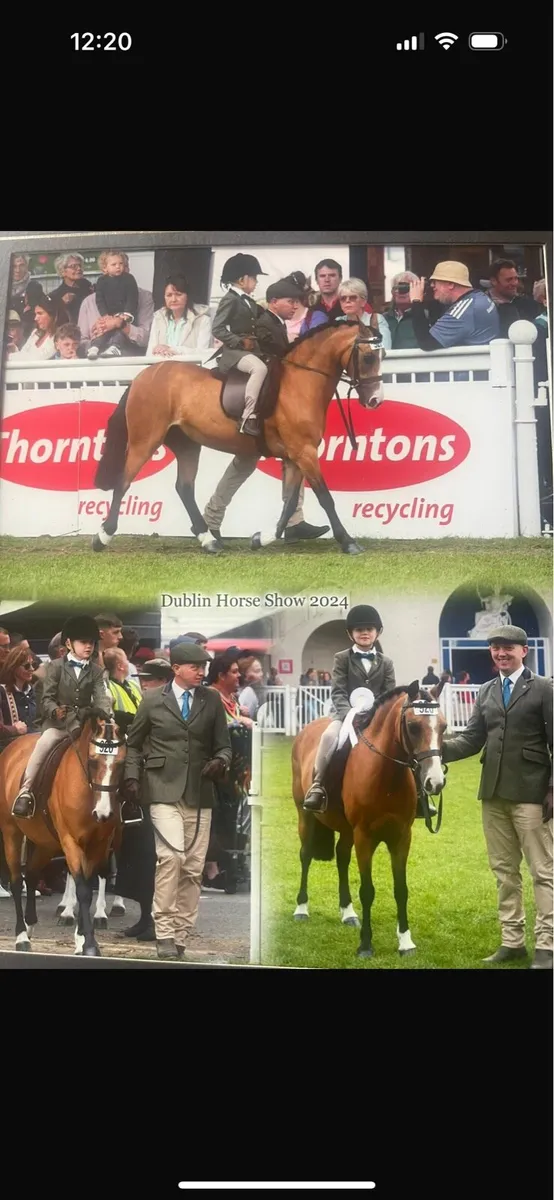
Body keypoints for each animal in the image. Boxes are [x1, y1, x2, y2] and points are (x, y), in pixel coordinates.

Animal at [0, 717, 126, 956]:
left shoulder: (99, 845)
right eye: (93, 762)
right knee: (16, 880)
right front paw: (89, 944)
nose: (103, 813)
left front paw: (82, 939)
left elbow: (88, 884)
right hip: (11, 832)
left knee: (31, 874)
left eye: (121, 764)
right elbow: (83, 890)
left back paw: (30, 924)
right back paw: (21, 936)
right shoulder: (71, 842)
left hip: (45, 843)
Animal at [92, 320, 385, 557]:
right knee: (123, 482)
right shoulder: (304, 452)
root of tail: (142, 376)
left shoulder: (297, 455)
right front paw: (348, 542)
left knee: (184, 488)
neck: (299, 383)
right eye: (369, 357)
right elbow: (325, 497)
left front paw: (261, 538)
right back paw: (103, 537)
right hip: (144, 442)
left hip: (187, 445)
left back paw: (209, 540)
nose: (375, 400)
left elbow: (290, 503)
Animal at [292, 682, 447, 959]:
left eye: (444, 726)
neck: (386, 776)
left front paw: (405, 941)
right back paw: (301, 909)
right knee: (306, 855)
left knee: (341, 857)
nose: (435, 782)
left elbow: (401, 889)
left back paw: (348, 912)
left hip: (346, 830)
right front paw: (365, 945)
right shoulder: (364, 837)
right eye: (413, 726)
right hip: (306, 816)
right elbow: (367, 891)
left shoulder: (401, 838)